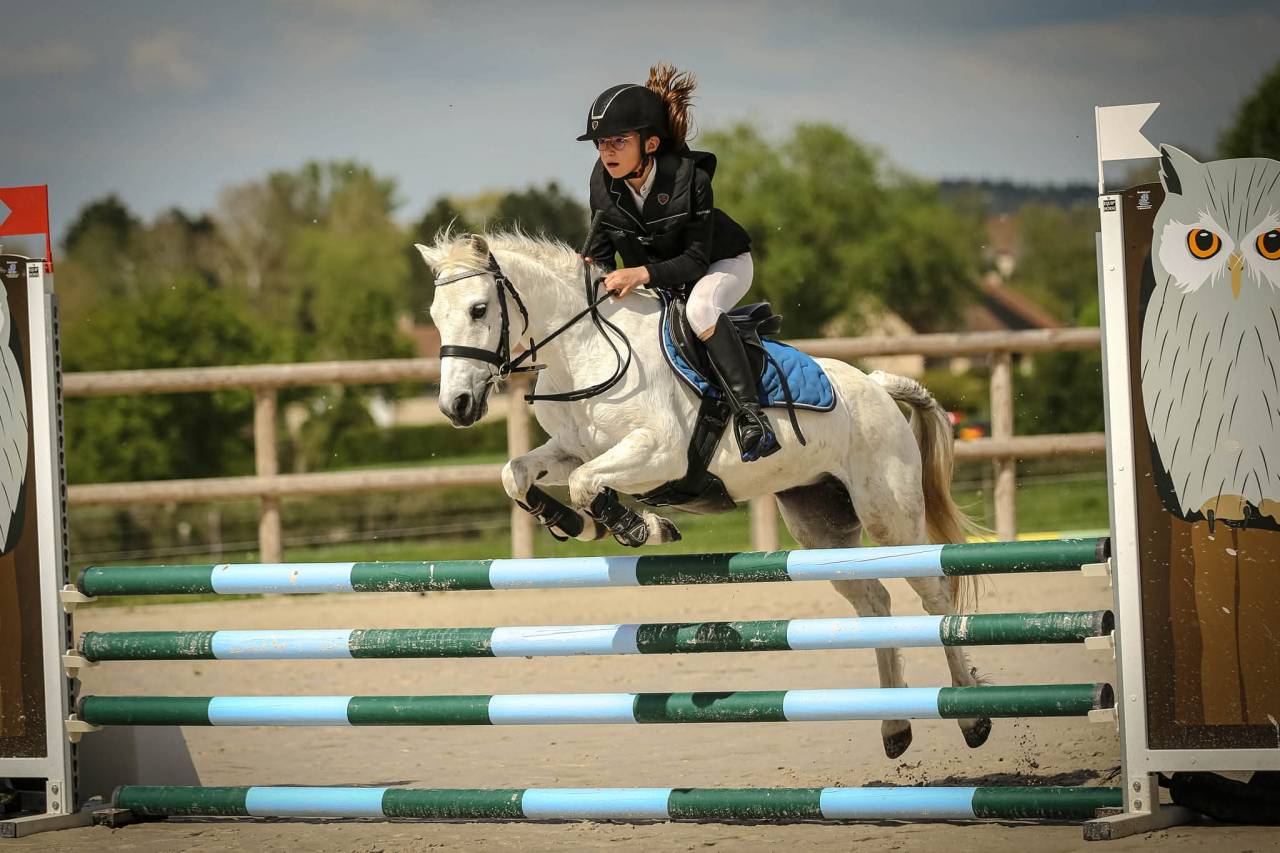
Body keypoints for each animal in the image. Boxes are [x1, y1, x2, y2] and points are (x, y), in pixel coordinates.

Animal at [416, 230, 989, 758]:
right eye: (435, 315)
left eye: (479, 309)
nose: (456, 406)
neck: (585, 352)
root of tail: (878, 386)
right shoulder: (572, 450)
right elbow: (518, 474)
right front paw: (578, 523)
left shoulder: (659, 453)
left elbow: (586, 484)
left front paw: (639, 526)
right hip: (820, 524)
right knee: (874, 602)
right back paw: (894, 726)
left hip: (889, 513)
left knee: (934, 596)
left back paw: (971, 717)